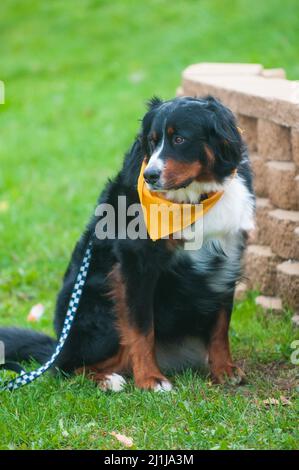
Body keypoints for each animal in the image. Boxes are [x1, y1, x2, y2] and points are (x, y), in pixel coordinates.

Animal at [1, 96, 256, 392]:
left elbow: (220, 323)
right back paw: (108, 379)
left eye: (179, 139)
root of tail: (59, 345)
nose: (150, 176)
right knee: (66, 367)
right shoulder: (136, 263)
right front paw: (150, 379)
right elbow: (141, 328)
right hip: (98, 311)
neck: (194, 199)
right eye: (152, 142)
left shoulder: (227, 259)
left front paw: (224, 369)